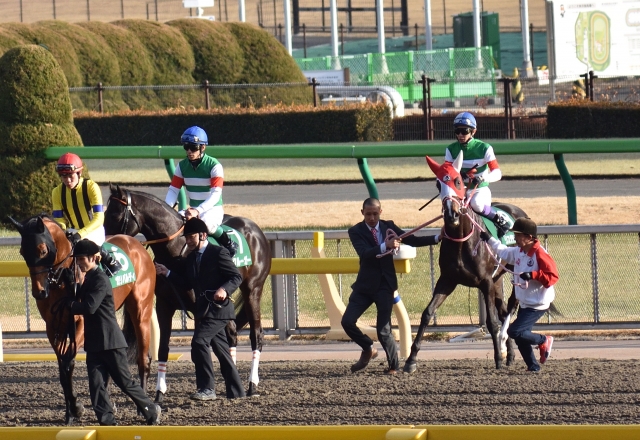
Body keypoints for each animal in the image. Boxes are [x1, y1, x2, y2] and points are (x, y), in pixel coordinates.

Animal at [9, 215, 156, 424]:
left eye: (43, 250)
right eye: (22, 252)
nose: (40, 292)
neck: (62, 279)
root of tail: (137, 244)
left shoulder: (81, 324)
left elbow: (68, 364)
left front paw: (76, 408)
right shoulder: (54, 327)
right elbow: (62, 368)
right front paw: (70, 412)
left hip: (141, 309)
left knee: (143, 358)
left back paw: (142, 407)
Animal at [106, 184, 272, 400]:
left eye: (115, 215)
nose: (106, 244)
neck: (176, 252)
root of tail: (255, 229)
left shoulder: (200, 308)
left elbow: (200, 346)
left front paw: (204, 387)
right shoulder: (164, 305)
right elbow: (163, 348)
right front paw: (159, 393)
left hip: (253, 289)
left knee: (256, 335)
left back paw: (252, 384)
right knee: (232, 333)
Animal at [402, 153, 528, 372]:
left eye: (458, 181)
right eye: (438, 183)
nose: (451, 213)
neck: (462, 240)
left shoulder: (485, 282)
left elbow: (491, 321)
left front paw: (498, 359)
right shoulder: (447, 280)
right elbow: (427, 313)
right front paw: (411, 360)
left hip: (513, 272)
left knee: (509, 309)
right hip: (497, 279)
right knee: (504, 311)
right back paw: (511, 355)